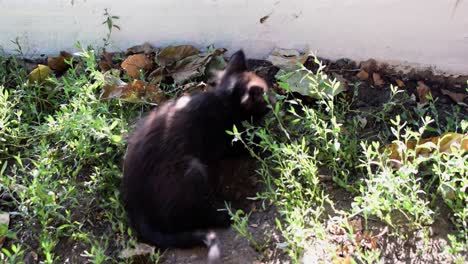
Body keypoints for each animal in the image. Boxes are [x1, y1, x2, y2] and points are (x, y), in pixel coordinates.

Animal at [122, 50, 272, 262]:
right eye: (267, 98)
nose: (276, 102)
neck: (222, 100)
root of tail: (135, 208)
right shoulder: (227, 141)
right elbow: (246, 145)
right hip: (192, 171)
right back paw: (227, 215)